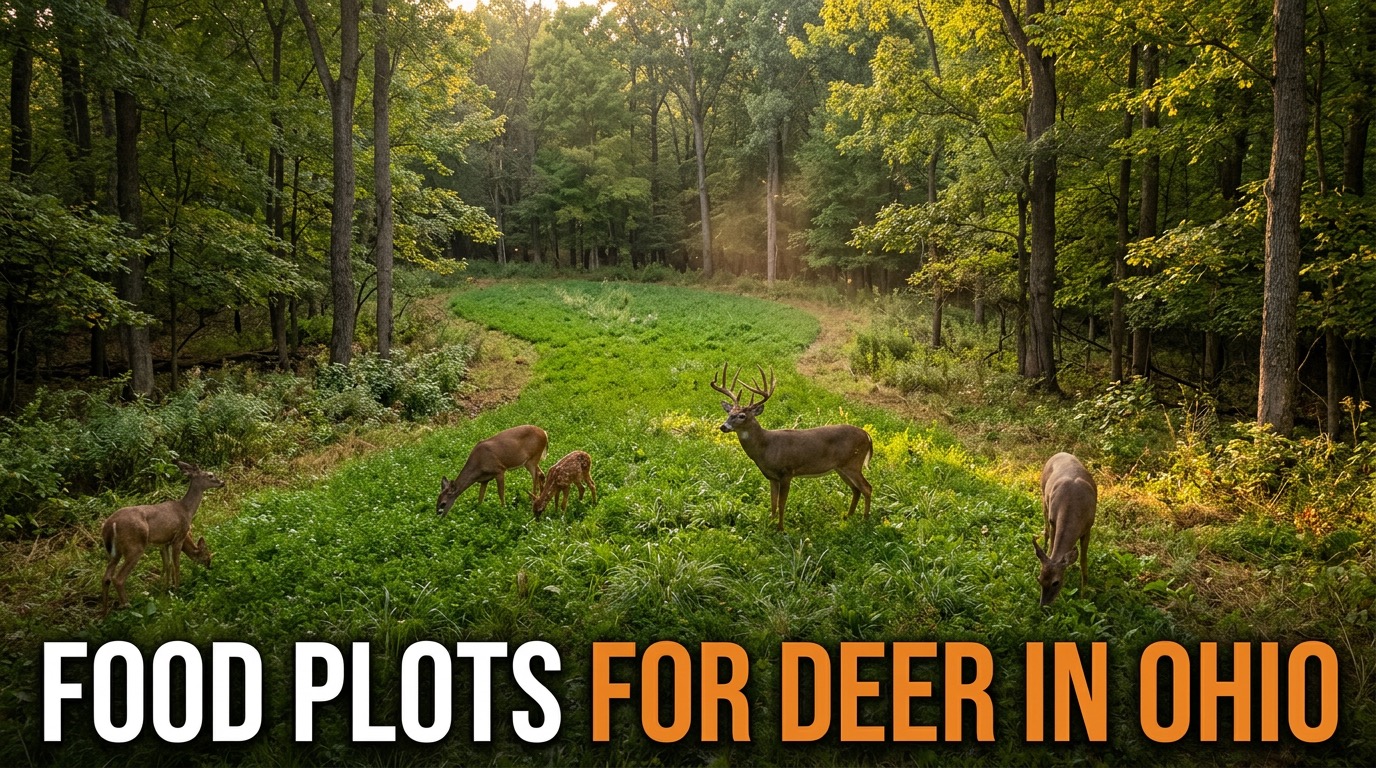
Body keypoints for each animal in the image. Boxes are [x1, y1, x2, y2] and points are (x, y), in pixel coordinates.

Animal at [100, 460, 222, 615]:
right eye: (210, 475)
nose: (222, 482)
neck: (186, 510)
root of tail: (110, 524)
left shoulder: (164, 542)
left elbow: (167, 565)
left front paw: (165, 589)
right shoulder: (179, 537)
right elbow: (176, 564)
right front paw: (177, 589)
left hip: (114, 552)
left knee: (106, 577)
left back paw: (104, 612)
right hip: (135, 546)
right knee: (118, 578)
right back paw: (128, 606)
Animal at [712, 364, 873, 532]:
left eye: (742, 416)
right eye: (729, 412)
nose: (723, 426)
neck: (766, 447)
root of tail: (867, 435)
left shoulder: (787, 472)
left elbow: (782, 504)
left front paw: (780, 529)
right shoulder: (771, 477)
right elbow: (773, 504)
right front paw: (770, 524)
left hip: (853, 463)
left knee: (867, 487)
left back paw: (865, 519)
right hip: (841, 467)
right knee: (856, 489)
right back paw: (848, 517)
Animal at [1032, 452, 1097, 607]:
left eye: (1056, 582)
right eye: (1039, 579)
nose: (1043, 605)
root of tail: (1060, 453)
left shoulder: (1088, 528)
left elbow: (1083, 561)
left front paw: (1083, 593)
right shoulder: (1054, 521)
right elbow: (1052, 547)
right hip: (1043, 497)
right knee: (1046, 530)